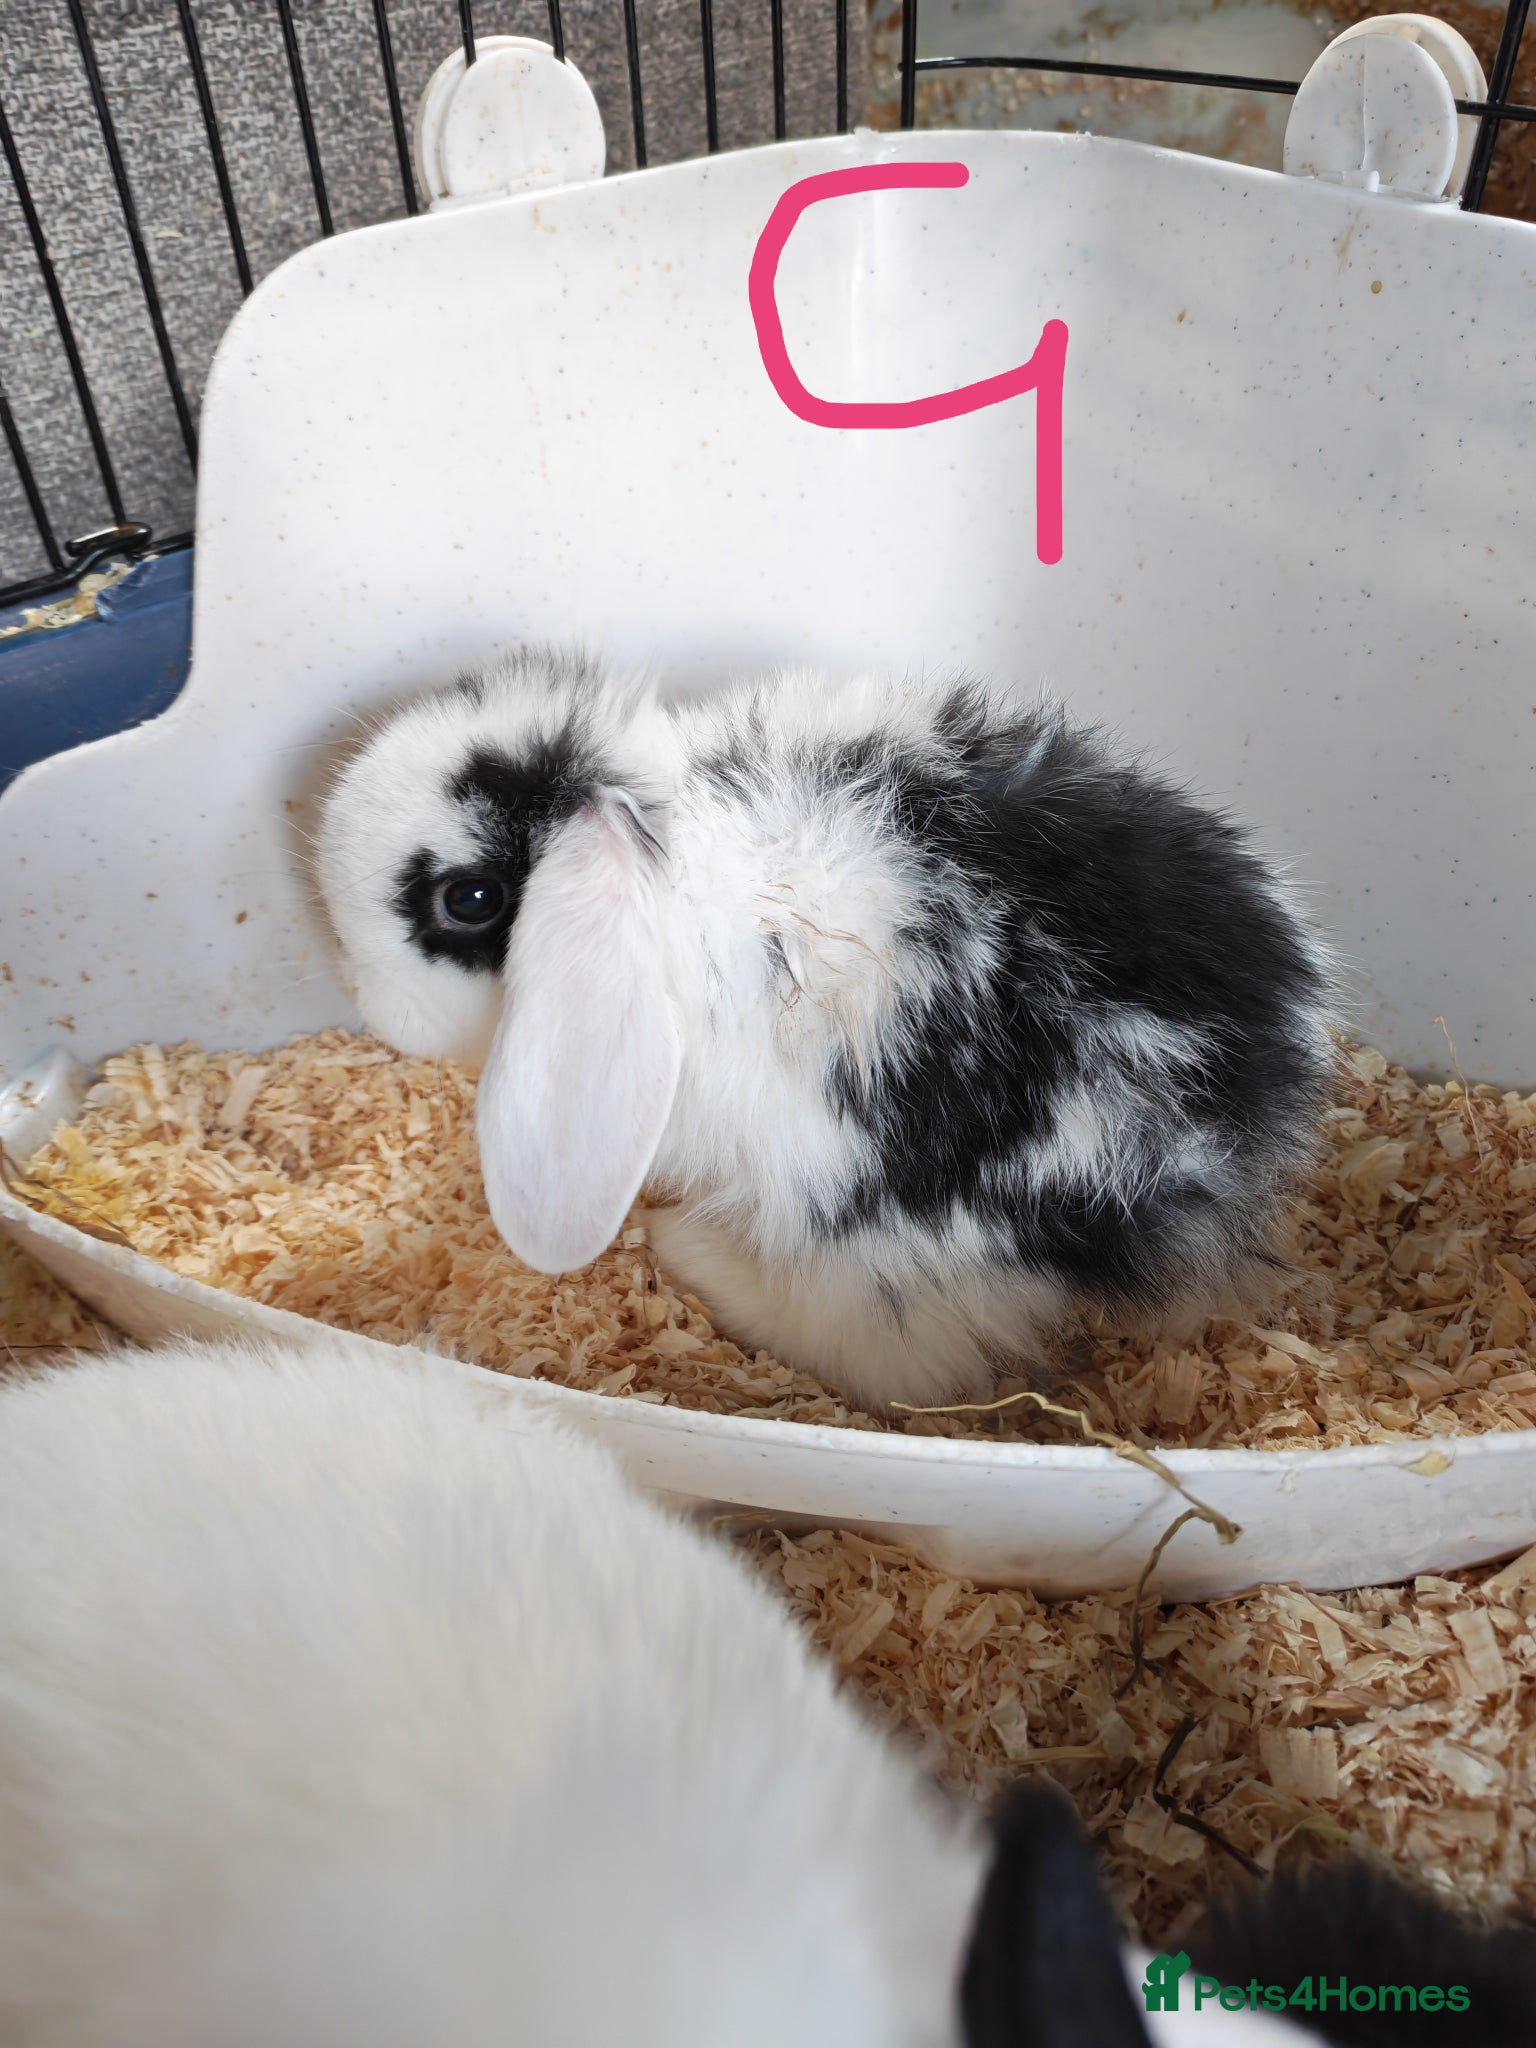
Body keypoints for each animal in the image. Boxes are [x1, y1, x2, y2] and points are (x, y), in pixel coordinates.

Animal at [315, 650, 1338, 1412]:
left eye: (469, 899)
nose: (364, 991)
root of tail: (1217, 1137)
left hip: (879, 1240)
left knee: (894, 1360)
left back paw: (687, 1250)